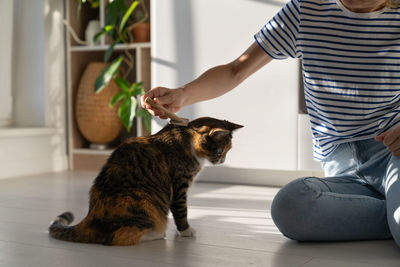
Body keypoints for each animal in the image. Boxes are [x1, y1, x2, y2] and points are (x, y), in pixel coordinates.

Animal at [50, 117, 244, 247]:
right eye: (220, 152)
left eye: (227, 151)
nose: (222, 161)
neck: (186, 137)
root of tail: (89, 219)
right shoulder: (180, 186)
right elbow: (181, 212)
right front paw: (186, 232)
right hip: (143, 204)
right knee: (116, 238)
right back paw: (156, 234)